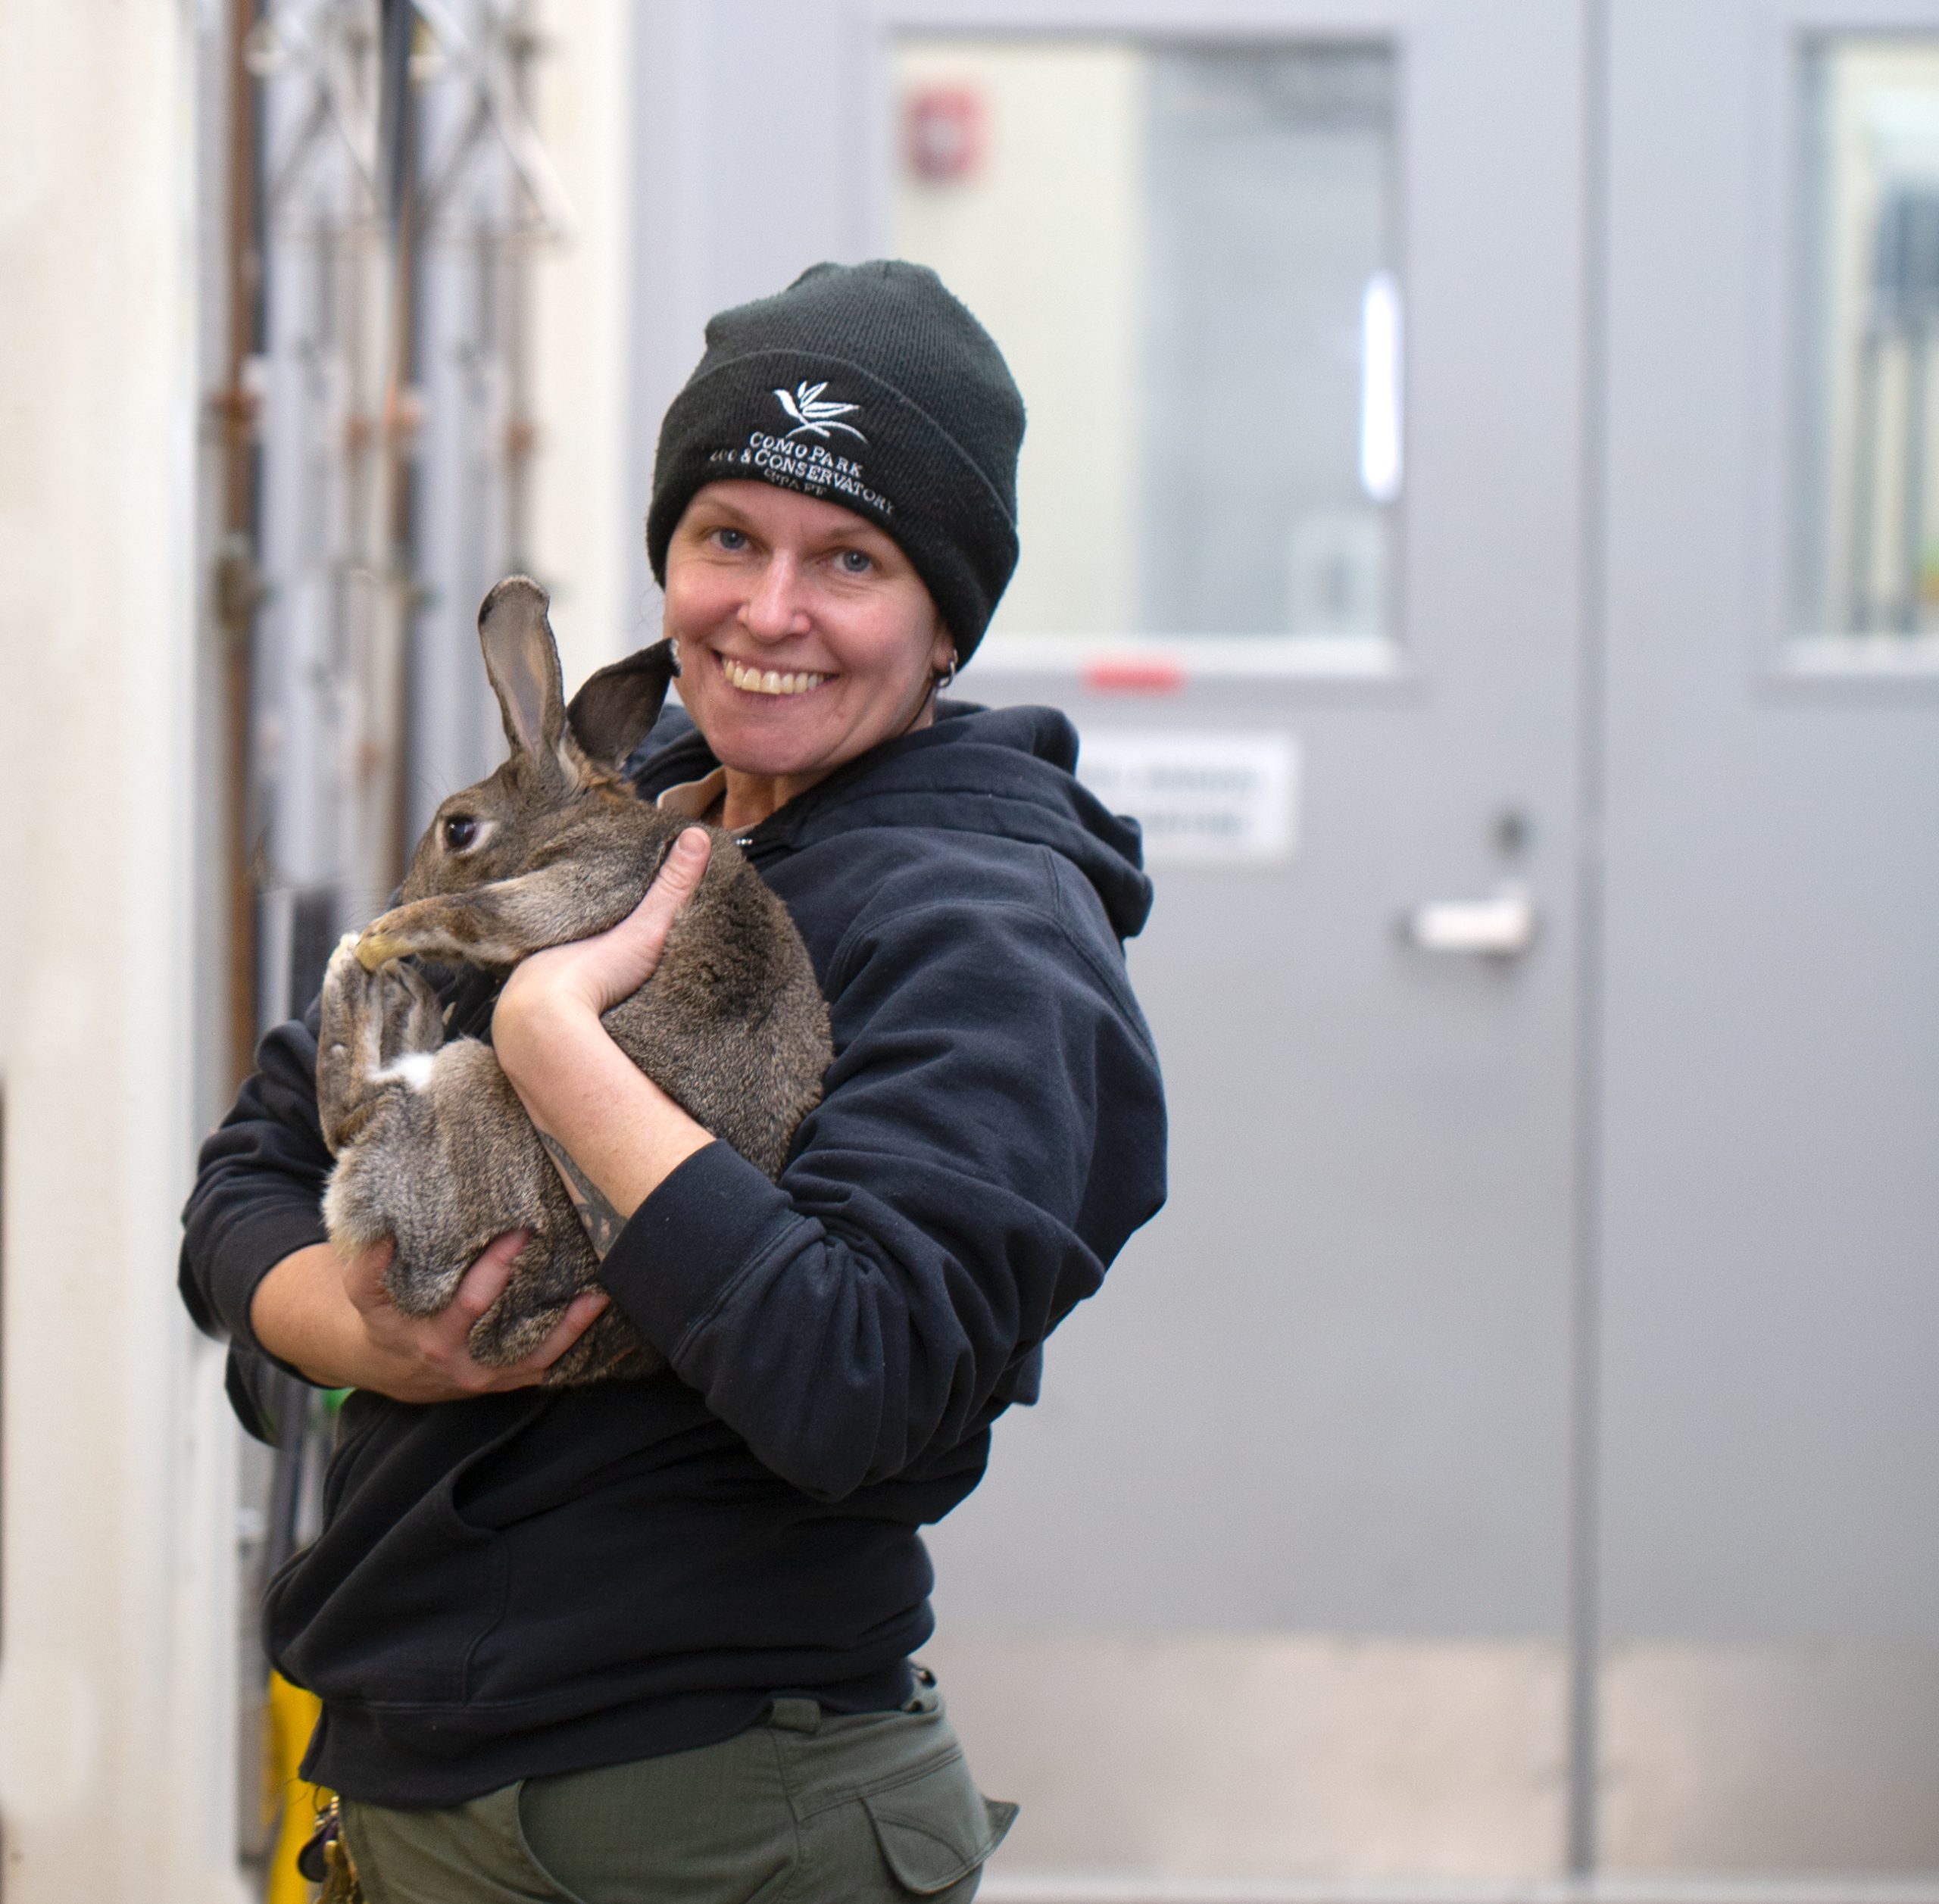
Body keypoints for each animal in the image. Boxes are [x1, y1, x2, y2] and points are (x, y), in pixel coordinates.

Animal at [314, 575, 833, 1385]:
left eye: (458, 829)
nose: (396, 900)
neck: (574, 816)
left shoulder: (594, 878)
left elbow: (485, 912)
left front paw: (382, 937)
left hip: (463, 1093)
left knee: (350, 1113)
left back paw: (361, 979)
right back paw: (404, 998)